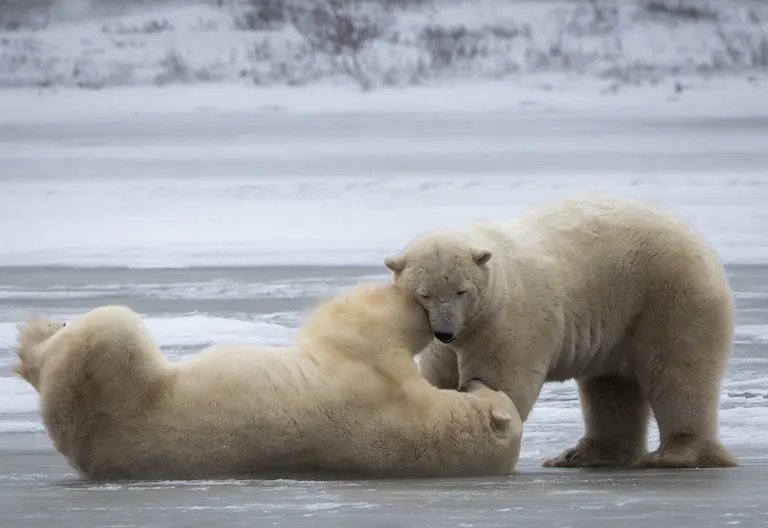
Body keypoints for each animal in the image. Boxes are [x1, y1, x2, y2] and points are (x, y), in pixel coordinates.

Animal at [12, 282, 522, 481]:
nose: (478, 380)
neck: (424, 430)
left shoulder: (376, 381)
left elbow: (362, 322)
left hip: (112, 388)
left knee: (110, 330)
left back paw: (34, 340)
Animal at [385, 193, 736, 469]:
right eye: (424, 294)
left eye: (461, 291)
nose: (445, 331)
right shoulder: (445, 342)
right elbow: (438, 377)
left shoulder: (506, 320)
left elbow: (503, 382)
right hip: (620, 320)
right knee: (610, 387)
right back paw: (582, 455)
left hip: (667, 293)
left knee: (678, 370)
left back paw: (677, 453)